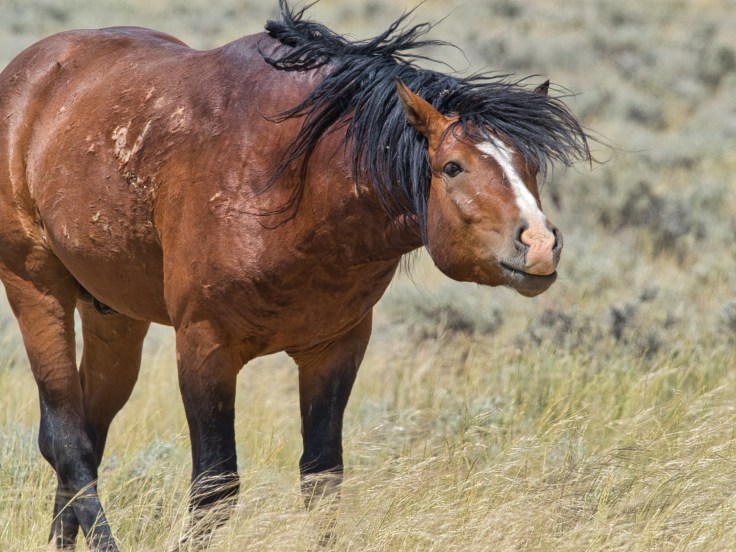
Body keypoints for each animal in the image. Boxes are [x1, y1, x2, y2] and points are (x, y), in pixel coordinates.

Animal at [0, 1, 590, 549]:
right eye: (452, 167)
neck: (290, 186)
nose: (539, 244)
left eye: (531, 167)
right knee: (68, 440)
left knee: (86, 434)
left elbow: (322, 481)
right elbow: (214, 488)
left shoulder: (336, 348)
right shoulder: (204, 346)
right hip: (36, 287)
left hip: (114, 315)